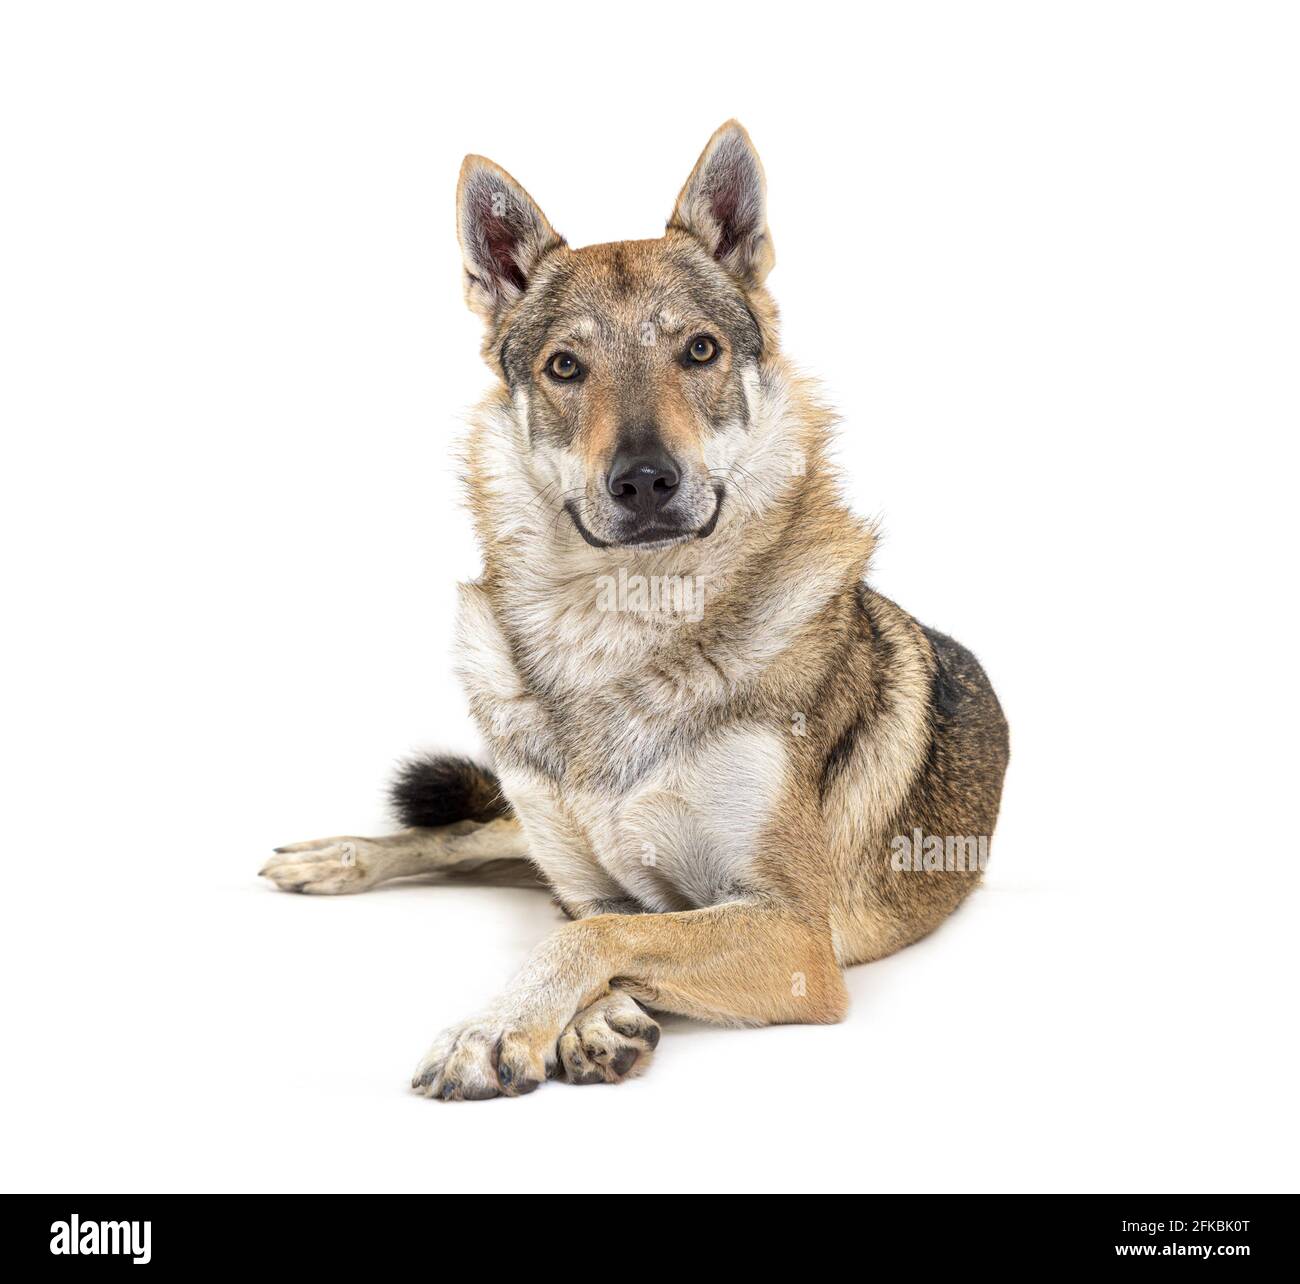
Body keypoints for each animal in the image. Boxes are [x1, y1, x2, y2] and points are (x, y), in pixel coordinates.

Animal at [258, 122, 1008, 1102]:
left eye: (699, 351)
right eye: (565, 367)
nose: (646, 480)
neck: (620, 628)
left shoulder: (794, 935)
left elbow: (600, 935)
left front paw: (506, 1029)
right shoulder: (592, 880)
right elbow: (594, 921)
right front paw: (581, 1021)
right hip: (522, 825)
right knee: (460, 832)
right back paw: (335, 858)